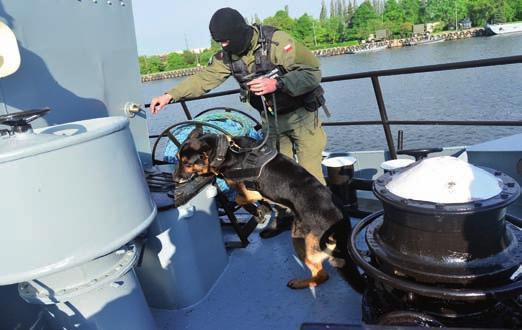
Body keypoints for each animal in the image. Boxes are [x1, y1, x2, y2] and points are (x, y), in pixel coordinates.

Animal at [173, 127, 364, 292]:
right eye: (177, 158)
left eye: (187, 164)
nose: (175, 179)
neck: (226, 152)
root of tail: (341, 224)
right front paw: (262, 209)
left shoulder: (251, 192)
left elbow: (239, 198)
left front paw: (258, 211)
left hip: (302, 241)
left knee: (321, 275)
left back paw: (301, 283)